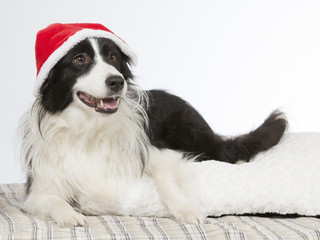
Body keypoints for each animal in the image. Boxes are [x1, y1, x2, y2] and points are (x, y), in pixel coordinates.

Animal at [18, 23, 286, 227]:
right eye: (79, 59)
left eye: (113, 57)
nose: (117, 81)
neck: (90, 128)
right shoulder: (40, 187)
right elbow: (53, 201)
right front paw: (70, 215)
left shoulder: (159, 153)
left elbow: (165, 180)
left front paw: (186, 209)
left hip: (192, 133)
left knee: (228, 151)